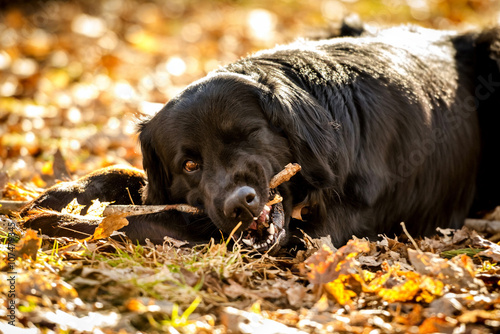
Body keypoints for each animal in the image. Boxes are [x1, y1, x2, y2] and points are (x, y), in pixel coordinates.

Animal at [21, 24, 500, 253]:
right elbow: (127, 177)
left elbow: (155, 219)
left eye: (249, 135)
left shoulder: (322, 231)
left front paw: (60, 223)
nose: (241, 203)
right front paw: (60, 195)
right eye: (189, 165)